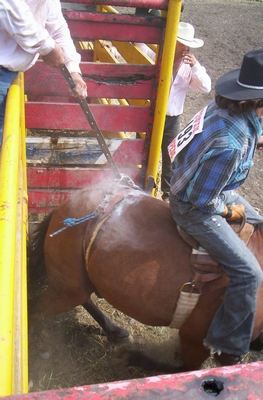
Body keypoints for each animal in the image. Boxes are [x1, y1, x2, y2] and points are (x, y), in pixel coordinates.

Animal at [27, 179, 263, 372]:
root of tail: (65, 206)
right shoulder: (195, 339)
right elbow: (183, 369)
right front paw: (130, 357)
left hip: (74, 283)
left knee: (83, 297)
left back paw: (114, 330)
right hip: (67, 290)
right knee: (36, 310)